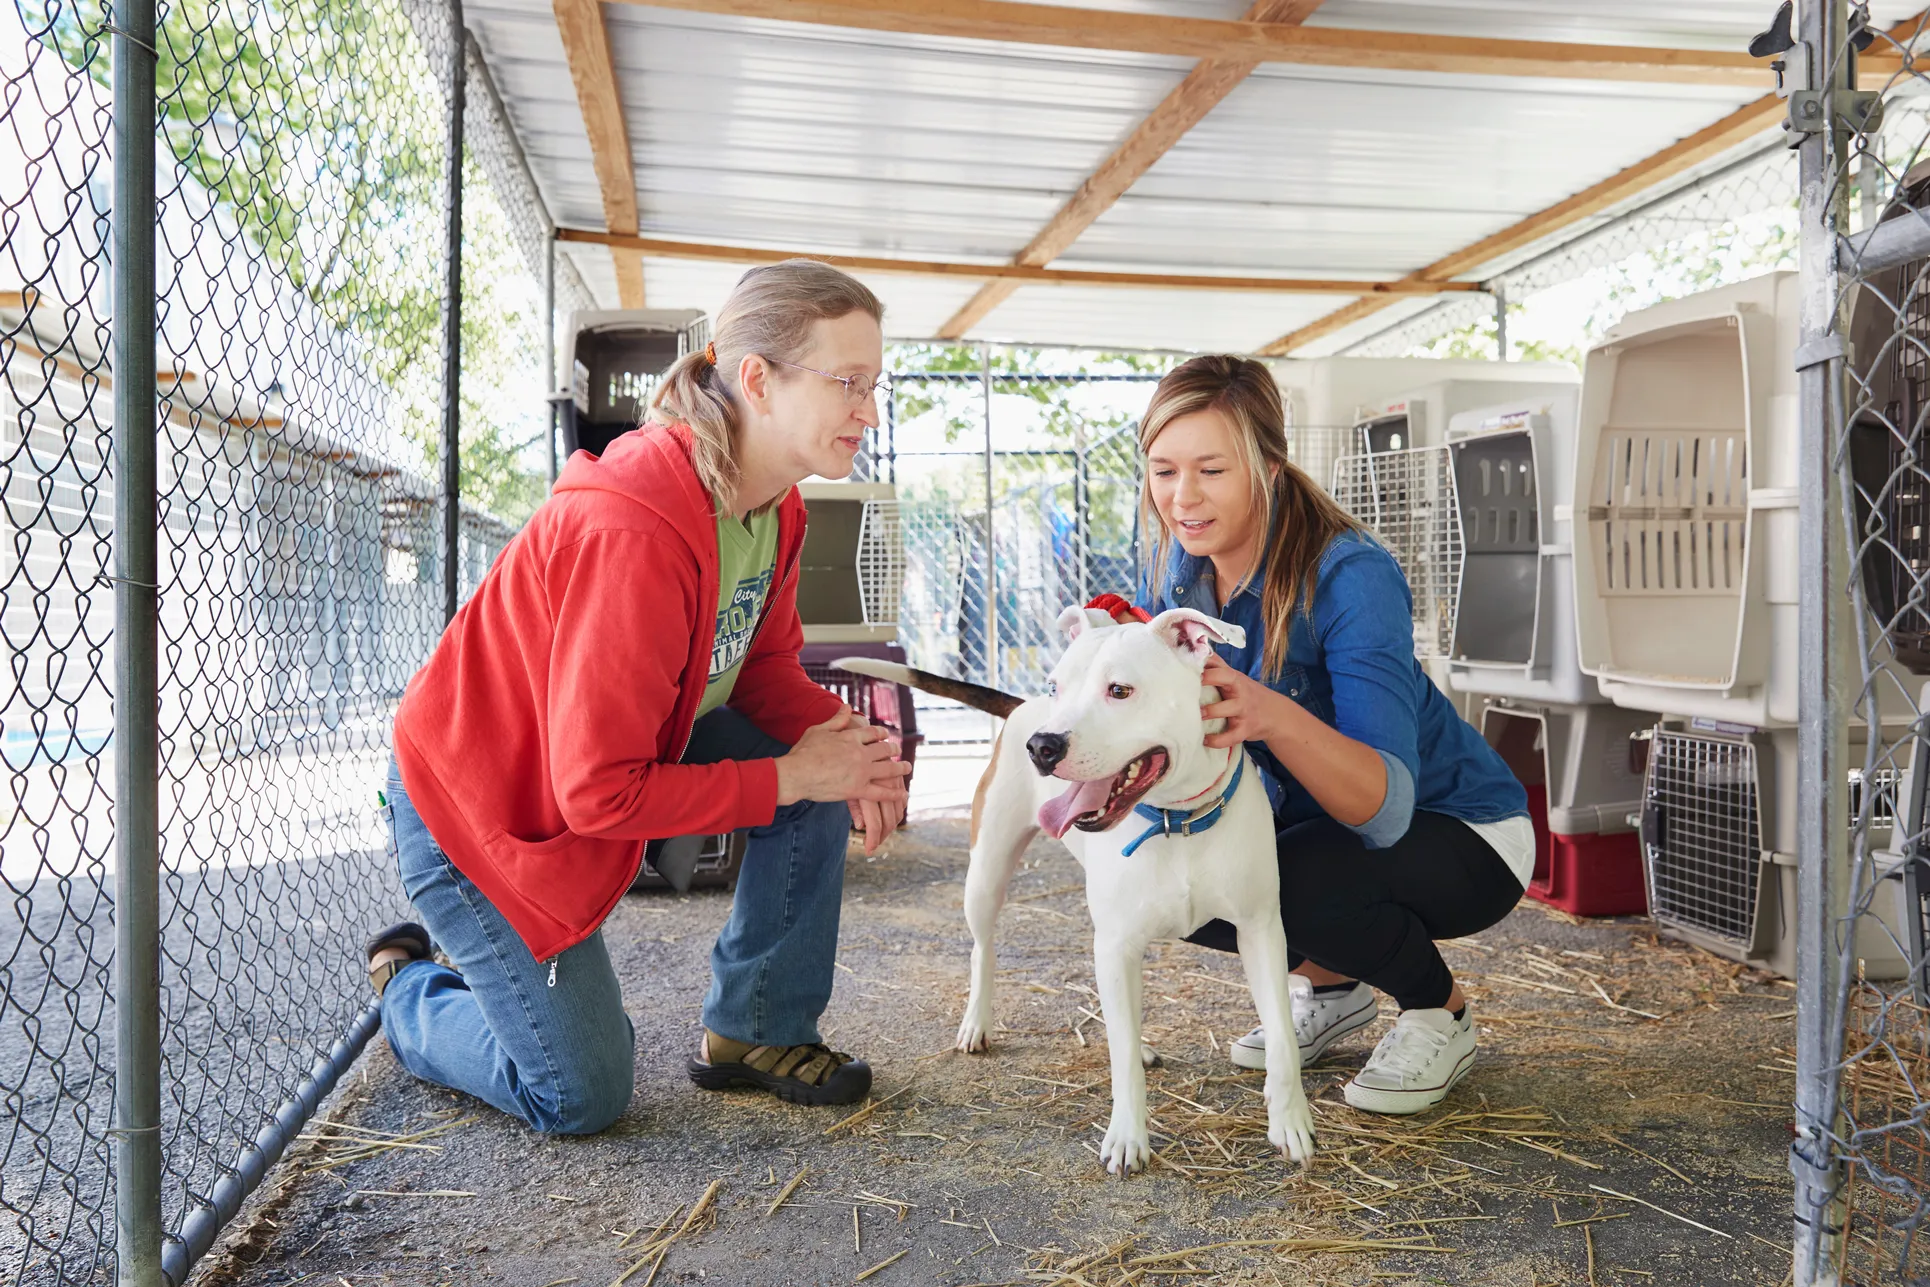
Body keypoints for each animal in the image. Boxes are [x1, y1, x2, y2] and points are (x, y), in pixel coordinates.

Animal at [837, 605, 1320, 1180]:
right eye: (1057, 686)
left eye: (1120, 690)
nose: (1042, 746)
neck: (1174, 819)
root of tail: (1021, 707)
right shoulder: (1115, 941)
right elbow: (1120, 1057)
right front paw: (1128, 1137)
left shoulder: (1261, 930)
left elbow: (1283, 1039)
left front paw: (1290, 1122)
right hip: (986, 873)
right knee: (983, 949)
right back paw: (976, 1023)